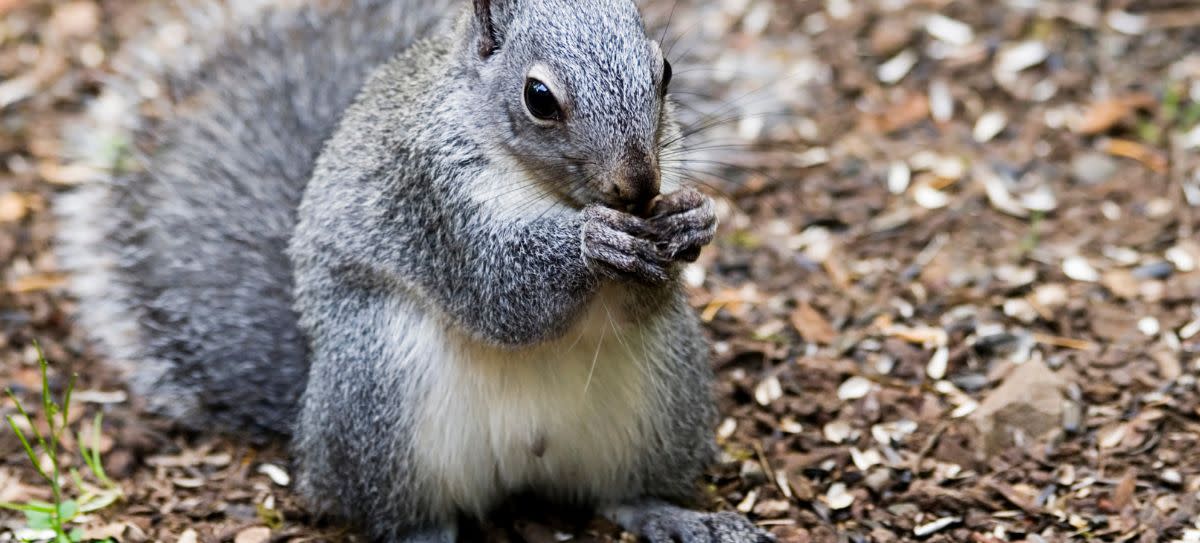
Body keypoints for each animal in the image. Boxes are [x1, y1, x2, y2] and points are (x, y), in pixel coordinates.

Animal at [56, 1, 772, 543]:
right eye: (538, 98)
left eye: (665, 69)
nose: (639, 185)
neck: (550, 193)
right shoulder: (431, 199)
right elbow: (501, 295)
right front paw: (591, 241)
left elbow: (641, 297)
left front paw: (692, 221)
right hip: (377, 395)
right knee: (396, 514)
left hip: (665, 397)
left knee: (621, 495)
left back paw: (679, 517)